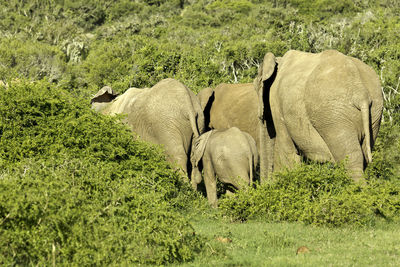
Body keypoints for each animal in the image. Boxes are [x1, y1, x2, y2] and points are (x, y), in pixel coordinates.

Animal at [256, 49, 384, 182]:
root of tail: (361, 93)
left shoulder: (277, 105)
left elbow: (287, 151)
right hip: (374, 111)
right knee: (362, 156)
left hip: (333, 115)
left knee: (350, 157)